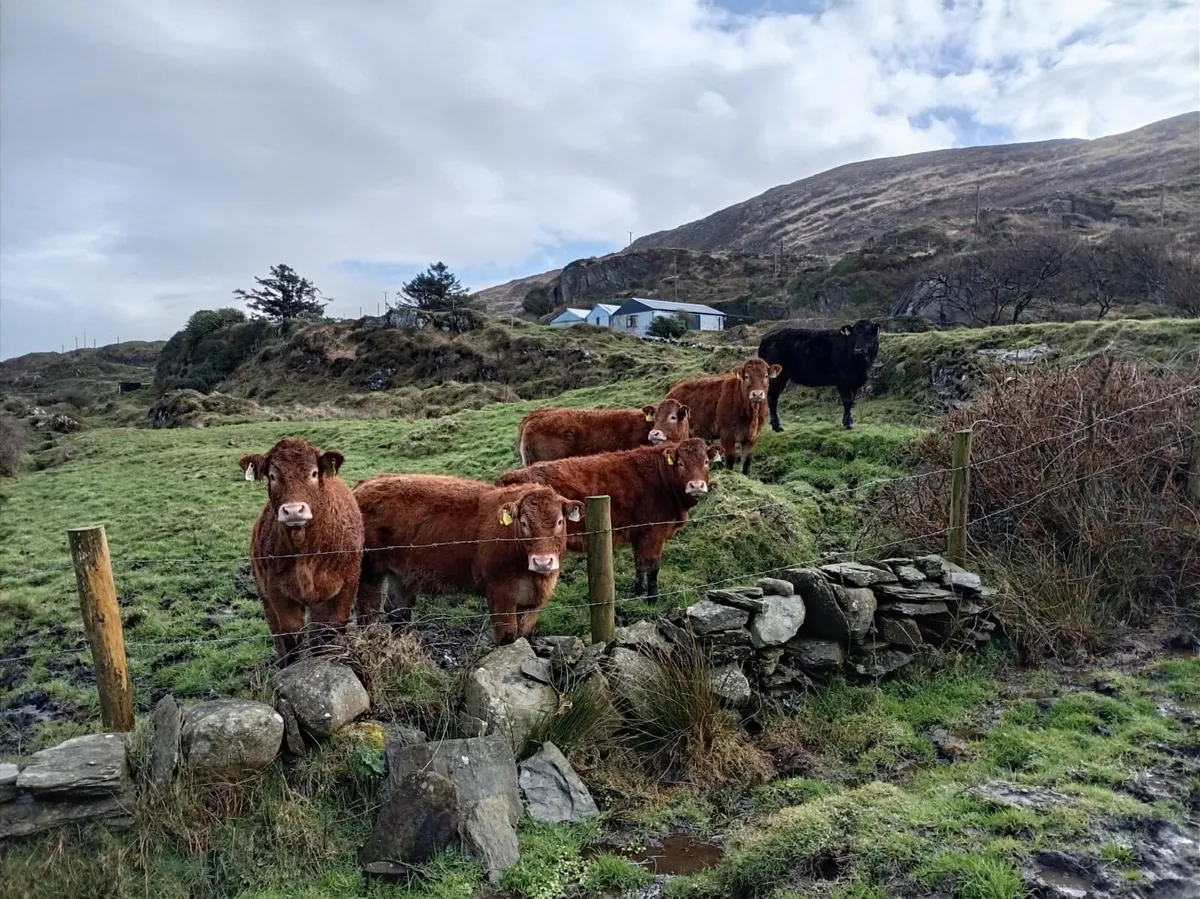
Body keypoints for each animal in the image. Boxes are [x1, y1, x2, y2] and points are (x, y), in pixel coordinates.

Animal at [239, 437, 364, 666]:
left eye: (313, 473)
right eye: (272, 475)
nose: (293, 510)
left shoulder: (346, 587)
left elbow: (328, 635)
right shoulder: (276, 591)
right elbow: (290, 638)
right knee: (276, 632)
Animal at [353, 474, 584, 645]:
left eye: (560, 521)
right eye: (525, 523)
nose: (542, 562)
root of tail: (364, 485)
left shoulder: (534, 602)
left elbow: (525, 636)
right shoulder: (500, 593)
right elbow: (507, 638)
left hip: (401, 575)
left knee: (398, 614)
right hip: (370, 572)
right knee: (367, 612)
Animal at [496, 437, 722, 600]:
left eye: (706, 462)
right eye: (681, 463)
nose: (696, 486)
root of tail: (507, 477)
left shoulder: (639, 534)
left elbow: (639, 563)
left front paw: (638, 591)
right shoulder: (654, 532)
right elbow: (653, 567)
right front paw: (653, 598)